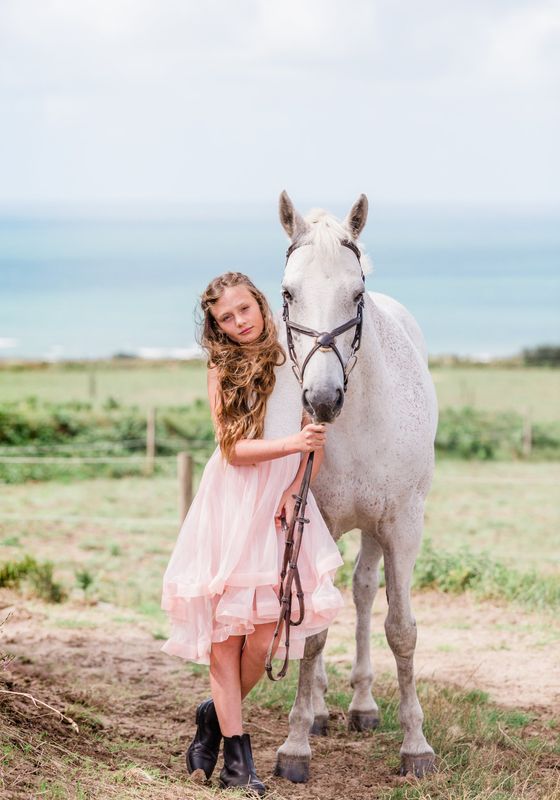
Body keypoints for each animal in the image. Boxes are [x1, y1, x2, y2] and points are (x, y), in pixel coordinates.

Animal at [272, 191, 438, 782]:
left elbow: (402, 629)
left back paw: (363, 705)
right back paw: (322, 710)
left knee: (365, 592)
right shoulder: (311, 520)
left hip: (373, 528)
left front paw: (415, 744)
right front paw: (296, 744)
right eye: (289, 292)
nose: (322, 399)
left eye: (356, 293)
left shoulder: (402, 525)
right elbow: (312, 633)